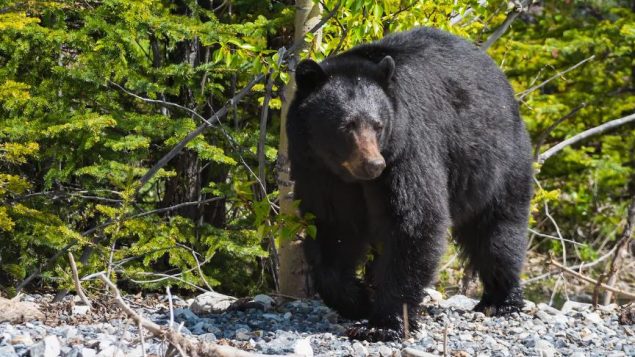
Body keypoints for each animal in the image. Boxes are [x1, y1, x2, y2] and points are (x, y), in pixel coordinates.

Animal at [286, 27, 532, 340]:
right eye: (347, 125)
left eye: (378, 125)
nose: (374, 164)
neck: (348, 175)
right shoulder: (318, 171)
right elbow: (333, 228)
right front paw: (358, 301)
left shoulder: (407, 150)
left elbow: (413, 221)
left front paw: (385, 323)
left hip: (498, 162)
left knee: (497, 231)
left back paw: (501, 300)